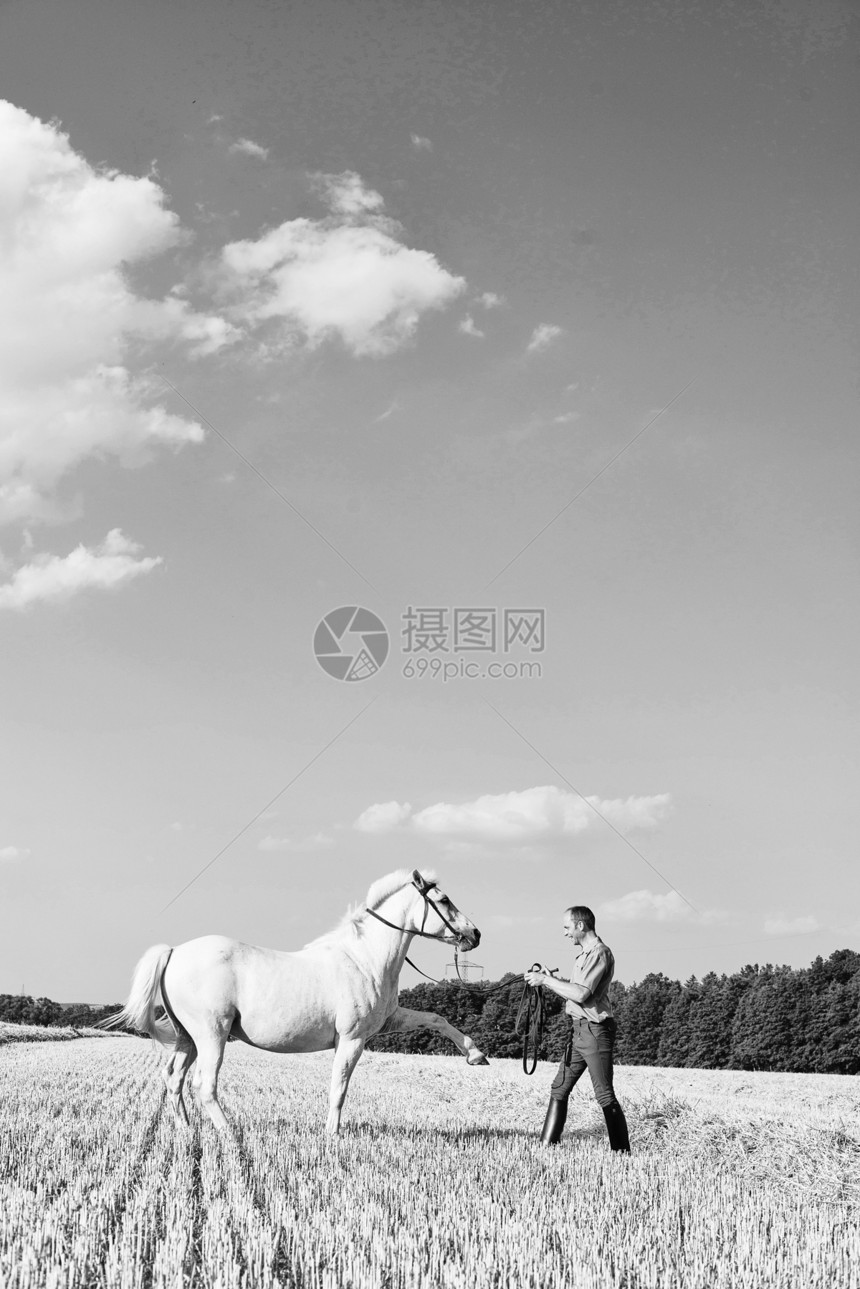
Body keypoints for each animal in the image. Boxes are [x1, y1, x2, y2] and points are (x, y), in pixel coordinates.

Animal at [112, 871, 489, 1134]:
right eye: (443, 900)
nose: (474, 935)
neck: (364, 958)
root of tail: (174, 951)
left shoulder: (390, 1020)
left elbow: (437, 1018)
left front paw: (475, 1055)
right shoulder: (352, 1039)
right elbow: (339, 1087)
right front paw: (332, 1133)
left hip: (187, 1037)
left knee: (173, 1079)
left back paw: (186, 1129)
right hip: (211, 1035)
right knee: (204, 1085)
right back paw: (229, 1132)